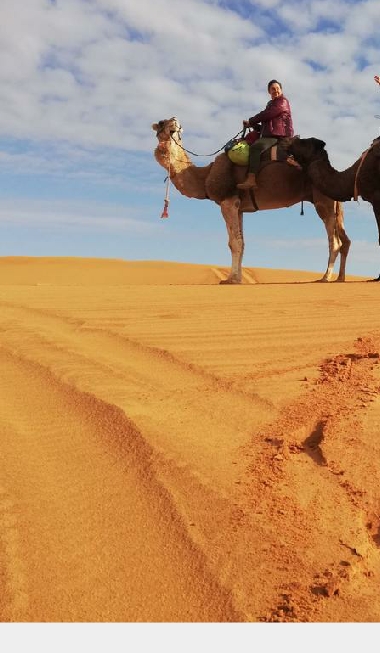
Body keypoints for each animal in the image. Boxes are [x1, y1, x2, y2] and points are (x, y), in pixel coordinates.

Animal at [152, 117, 350, 282]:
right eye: (162, 123)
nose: (174, 121)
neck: (206, 176)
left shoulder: (228, 202)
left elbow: (234, 243)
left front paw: (230, 279)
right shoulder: (239, 207)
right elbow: (240, 242)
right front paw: (237, 278)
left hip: (323, 201)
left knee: (335, 242)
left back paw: (325, 277)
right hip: (334, 203)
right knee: (345, 240)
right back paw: (340, 278)